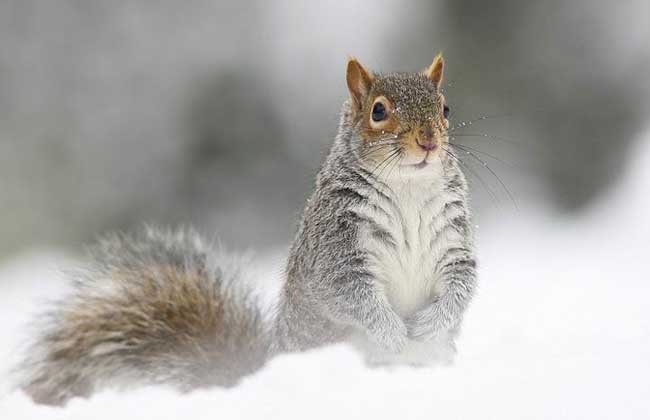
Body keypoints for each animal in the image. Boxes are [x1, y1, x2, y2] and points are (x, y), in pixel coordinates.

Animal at [17, 54, 476, 406]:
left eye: (445, 108)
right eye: (379, 110)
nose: (428, 140)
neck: (408, 187)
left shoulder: (454, 242)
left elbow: (462, 283)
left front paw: (431, 322)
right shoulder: (336, 247)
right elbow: (349, 292)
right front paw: (391, 331)